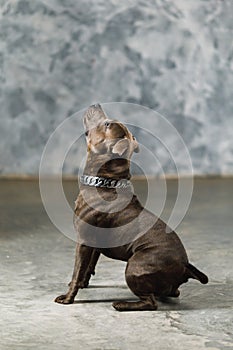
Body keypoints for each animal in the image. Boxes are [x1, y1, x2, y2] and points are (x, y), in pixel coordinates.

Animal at [54, 104, 208, 312]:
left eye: (107, 124)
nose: (96, 104)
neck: (106, 181)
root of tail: (185, 266)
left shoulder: (84, 242)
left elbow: (77, 270)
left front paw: (68, 297)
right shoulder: (94, 243)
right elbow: (87, 268)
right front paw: (81, 285)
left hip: (135, 267)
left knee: (151, 302)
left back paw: (122, 304)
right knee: (172, 292)